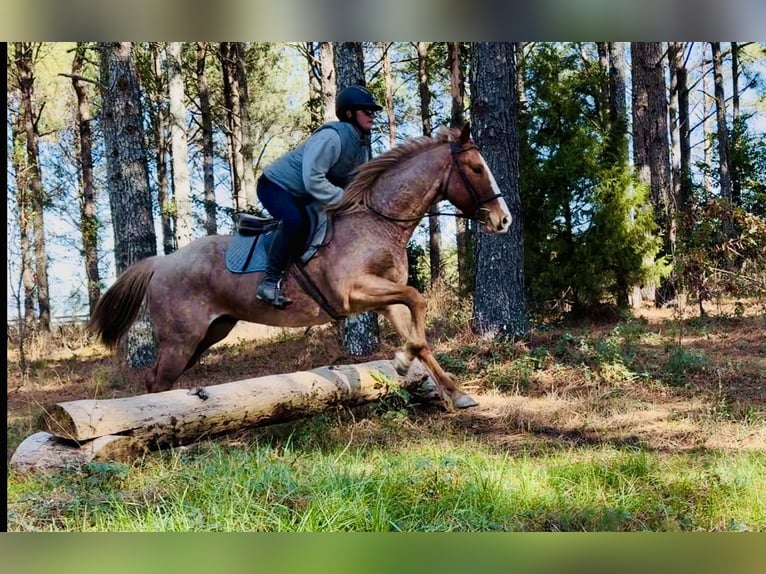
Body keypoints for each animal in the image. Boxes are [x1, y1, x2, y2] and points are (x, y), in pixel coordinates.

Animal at [88, 123, 511, 411]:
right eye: (477, 169)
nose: (503, 220)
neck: (377, 221)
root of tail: (162, 262)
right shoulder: (354, 292)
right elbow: (417, 300)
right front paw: (403, 362)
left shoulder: (384, 298)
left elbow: (419, 335)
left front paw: (451, 391)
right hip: (182, 339)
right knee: (156, 381)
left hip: (208, 334)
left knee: (162, 380)